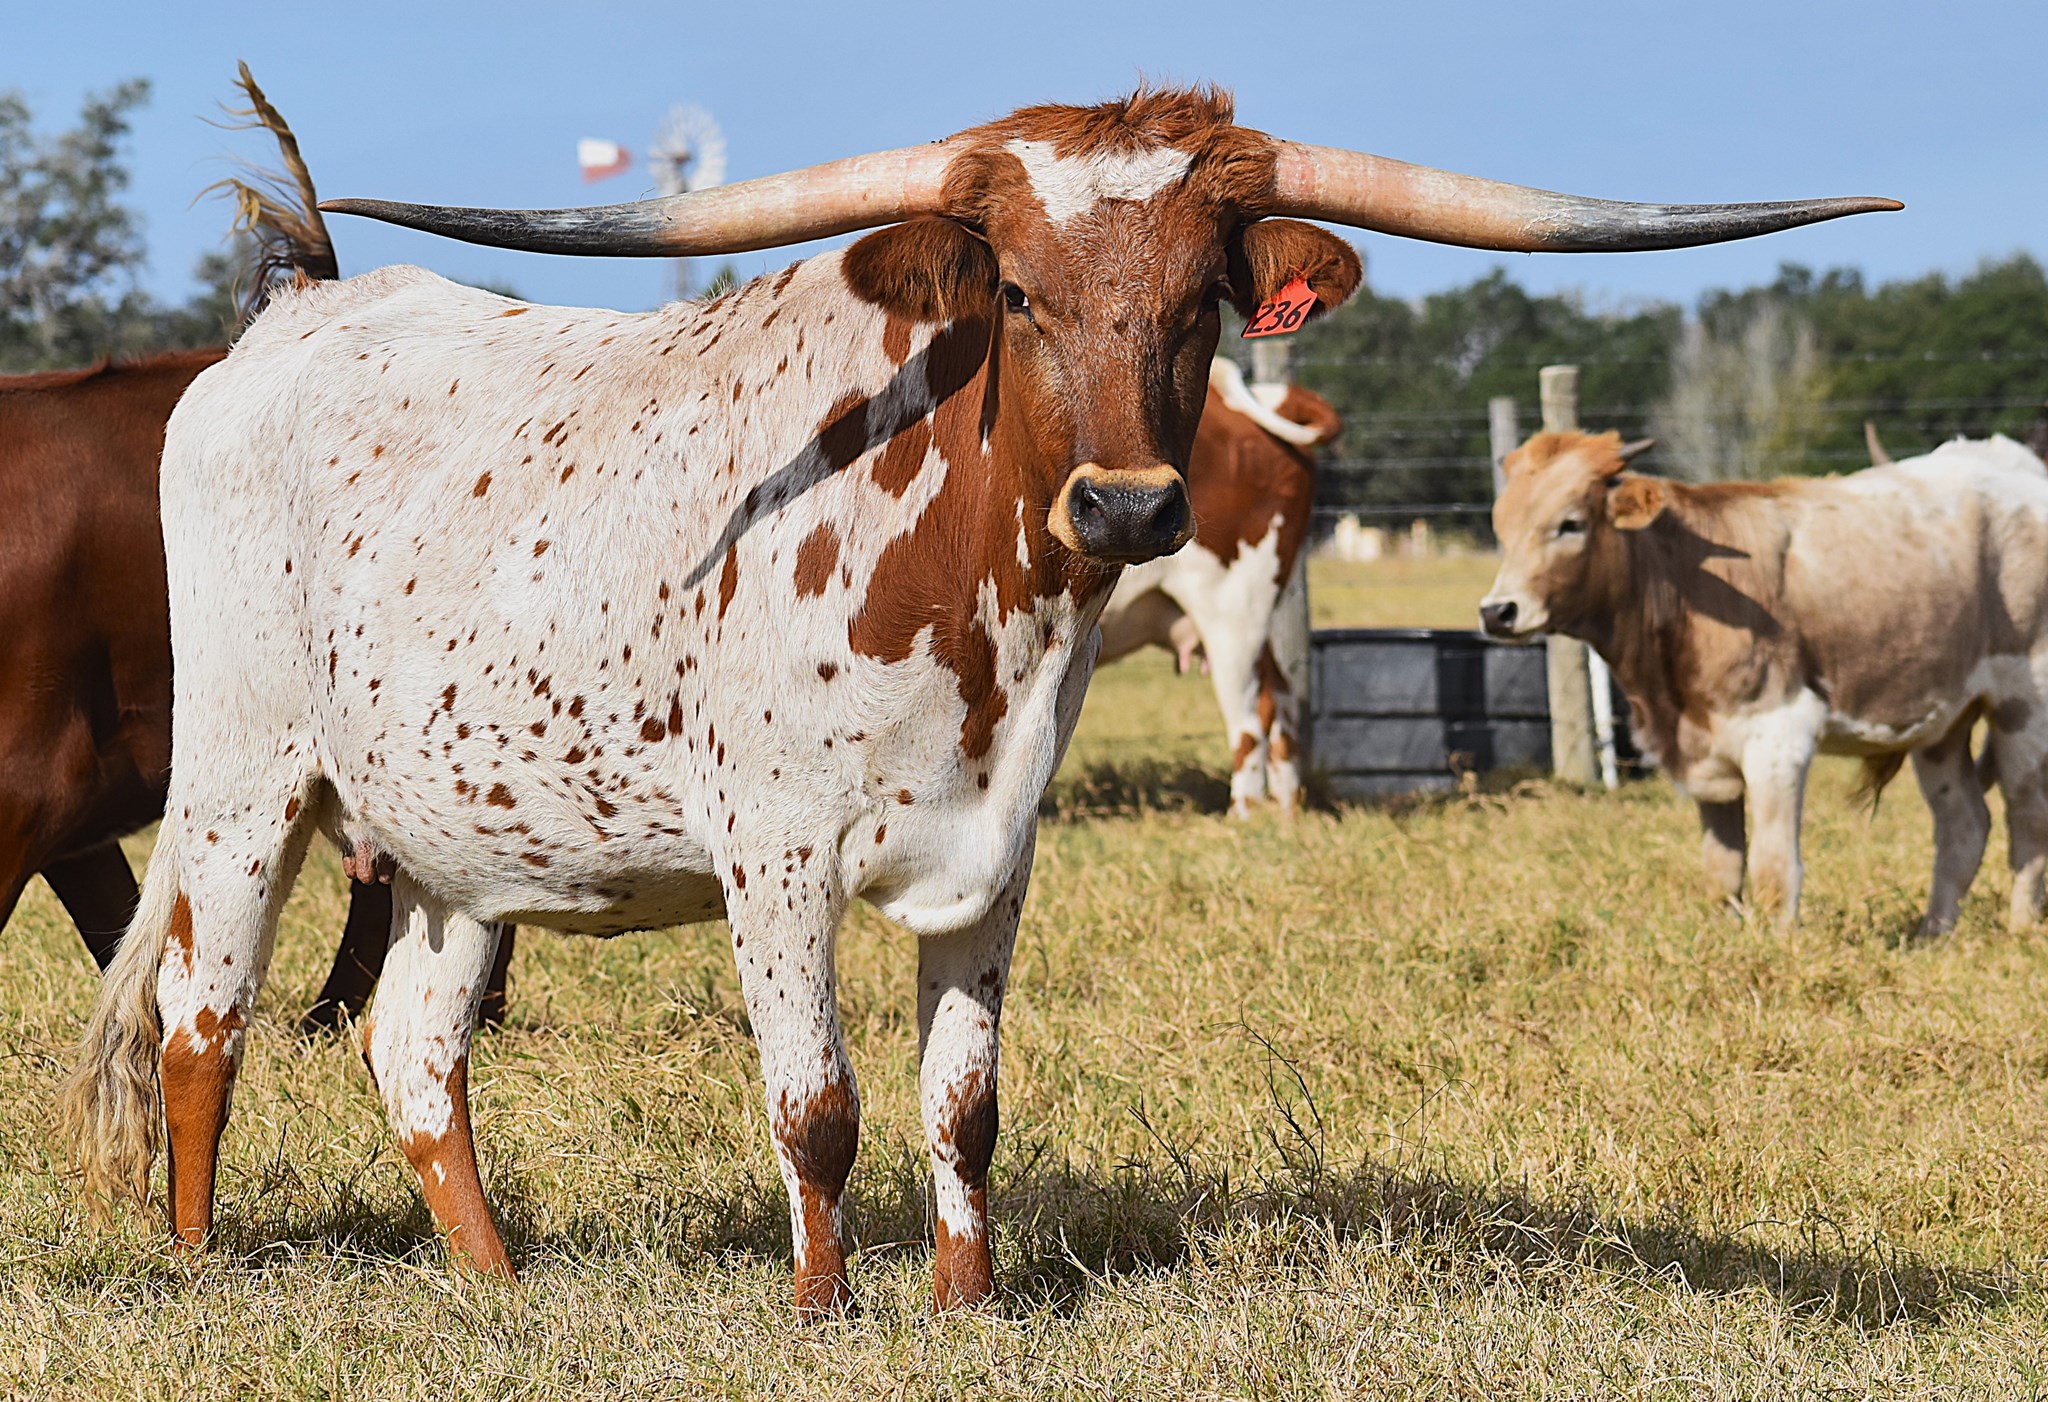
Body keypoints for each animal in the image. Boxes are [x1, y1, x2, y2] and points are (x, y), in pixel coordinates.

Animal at [1479, 429, 2048, 937]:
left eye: (1570, 524)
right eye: (1502, 529)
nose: (1497, 611)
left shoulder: (1778, 737)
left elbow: (1775, 868)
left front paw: (1777, 946)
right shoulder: (1704, 753)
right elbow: (1722, 870)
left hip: (2025, 704)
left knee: (2027, 818)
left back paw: (2020, 928)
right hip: (1941, 721)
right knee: (1964, 825)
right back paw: (1933, 934)